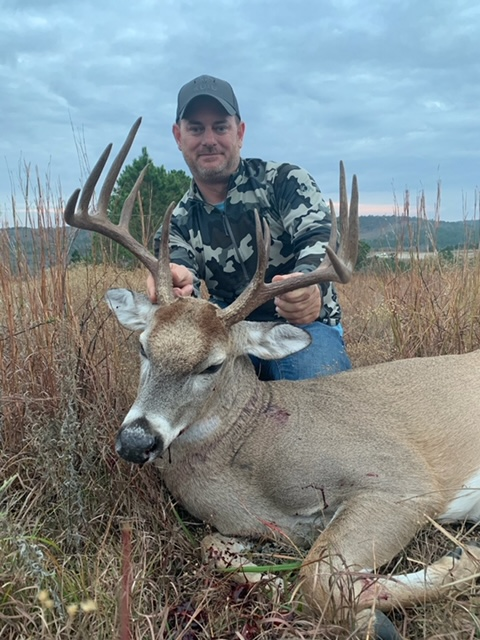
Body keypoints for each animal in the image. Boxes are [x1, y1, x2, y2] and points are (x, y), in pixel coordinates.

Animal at [64, 118, 480, 639]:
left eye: (213, 365)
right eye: (143, 347)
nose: (136, 442)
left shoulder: (404, 480)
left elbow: (316, 578)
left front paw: (426, 582)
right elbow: (218, 551)